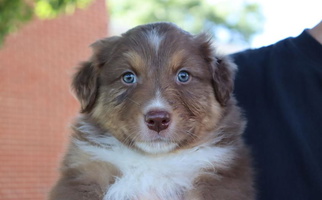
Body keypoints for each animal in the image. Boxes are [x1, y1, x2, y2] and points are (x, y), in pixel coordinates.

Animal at [49, 22, 254, 200]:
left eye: (183, 75)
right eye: (128, 77)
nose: (157, 120)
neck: (154, 160)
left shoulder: (217, 177)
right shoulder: (85, 174)